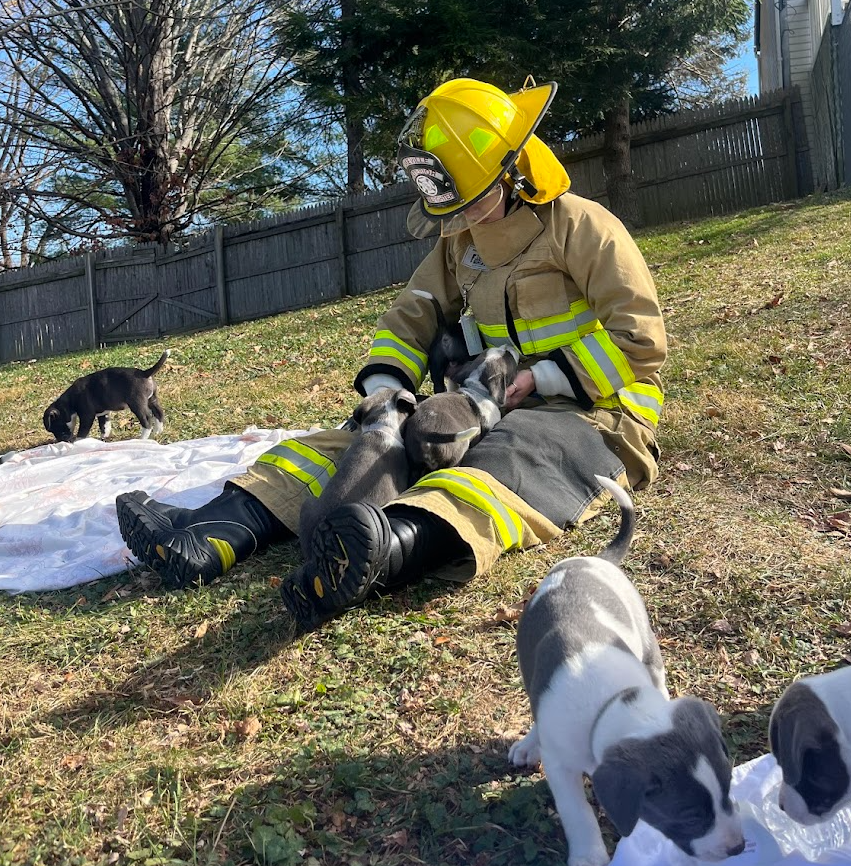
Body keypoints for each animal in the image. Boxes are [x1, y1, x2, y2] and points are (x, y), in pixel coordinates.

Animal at [42, 346, 170, 438]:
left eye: (55, 426)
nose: (61, 441)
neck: (69, 401)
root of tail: (144, 373)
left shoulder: (87, 416)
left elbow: (82, 432)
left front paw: (79, 442)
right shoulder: (103, 414)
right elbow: (105, 427)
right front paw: (103, 438)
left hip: (137, 405)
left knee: (147, 421)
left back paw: (142, 438)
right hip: (152, 400)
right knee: (159, 414)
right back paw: (157, 432)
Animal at [404, 344, 520, 476]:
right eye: (508, 355)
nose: (509, 345)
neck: (477, 388)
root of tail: (427, 435)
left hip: (414, 463)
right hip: (458, 451)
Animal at [510, 476, 744, 860]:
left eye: (728, 787)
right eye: (690, 814)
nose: (738, 847)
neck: (613, 700)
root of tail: (591, 559)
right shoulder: (560, 767)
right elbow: (577, 812)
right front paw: (588, 856)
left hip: (648, 646)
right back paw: (531, 743)